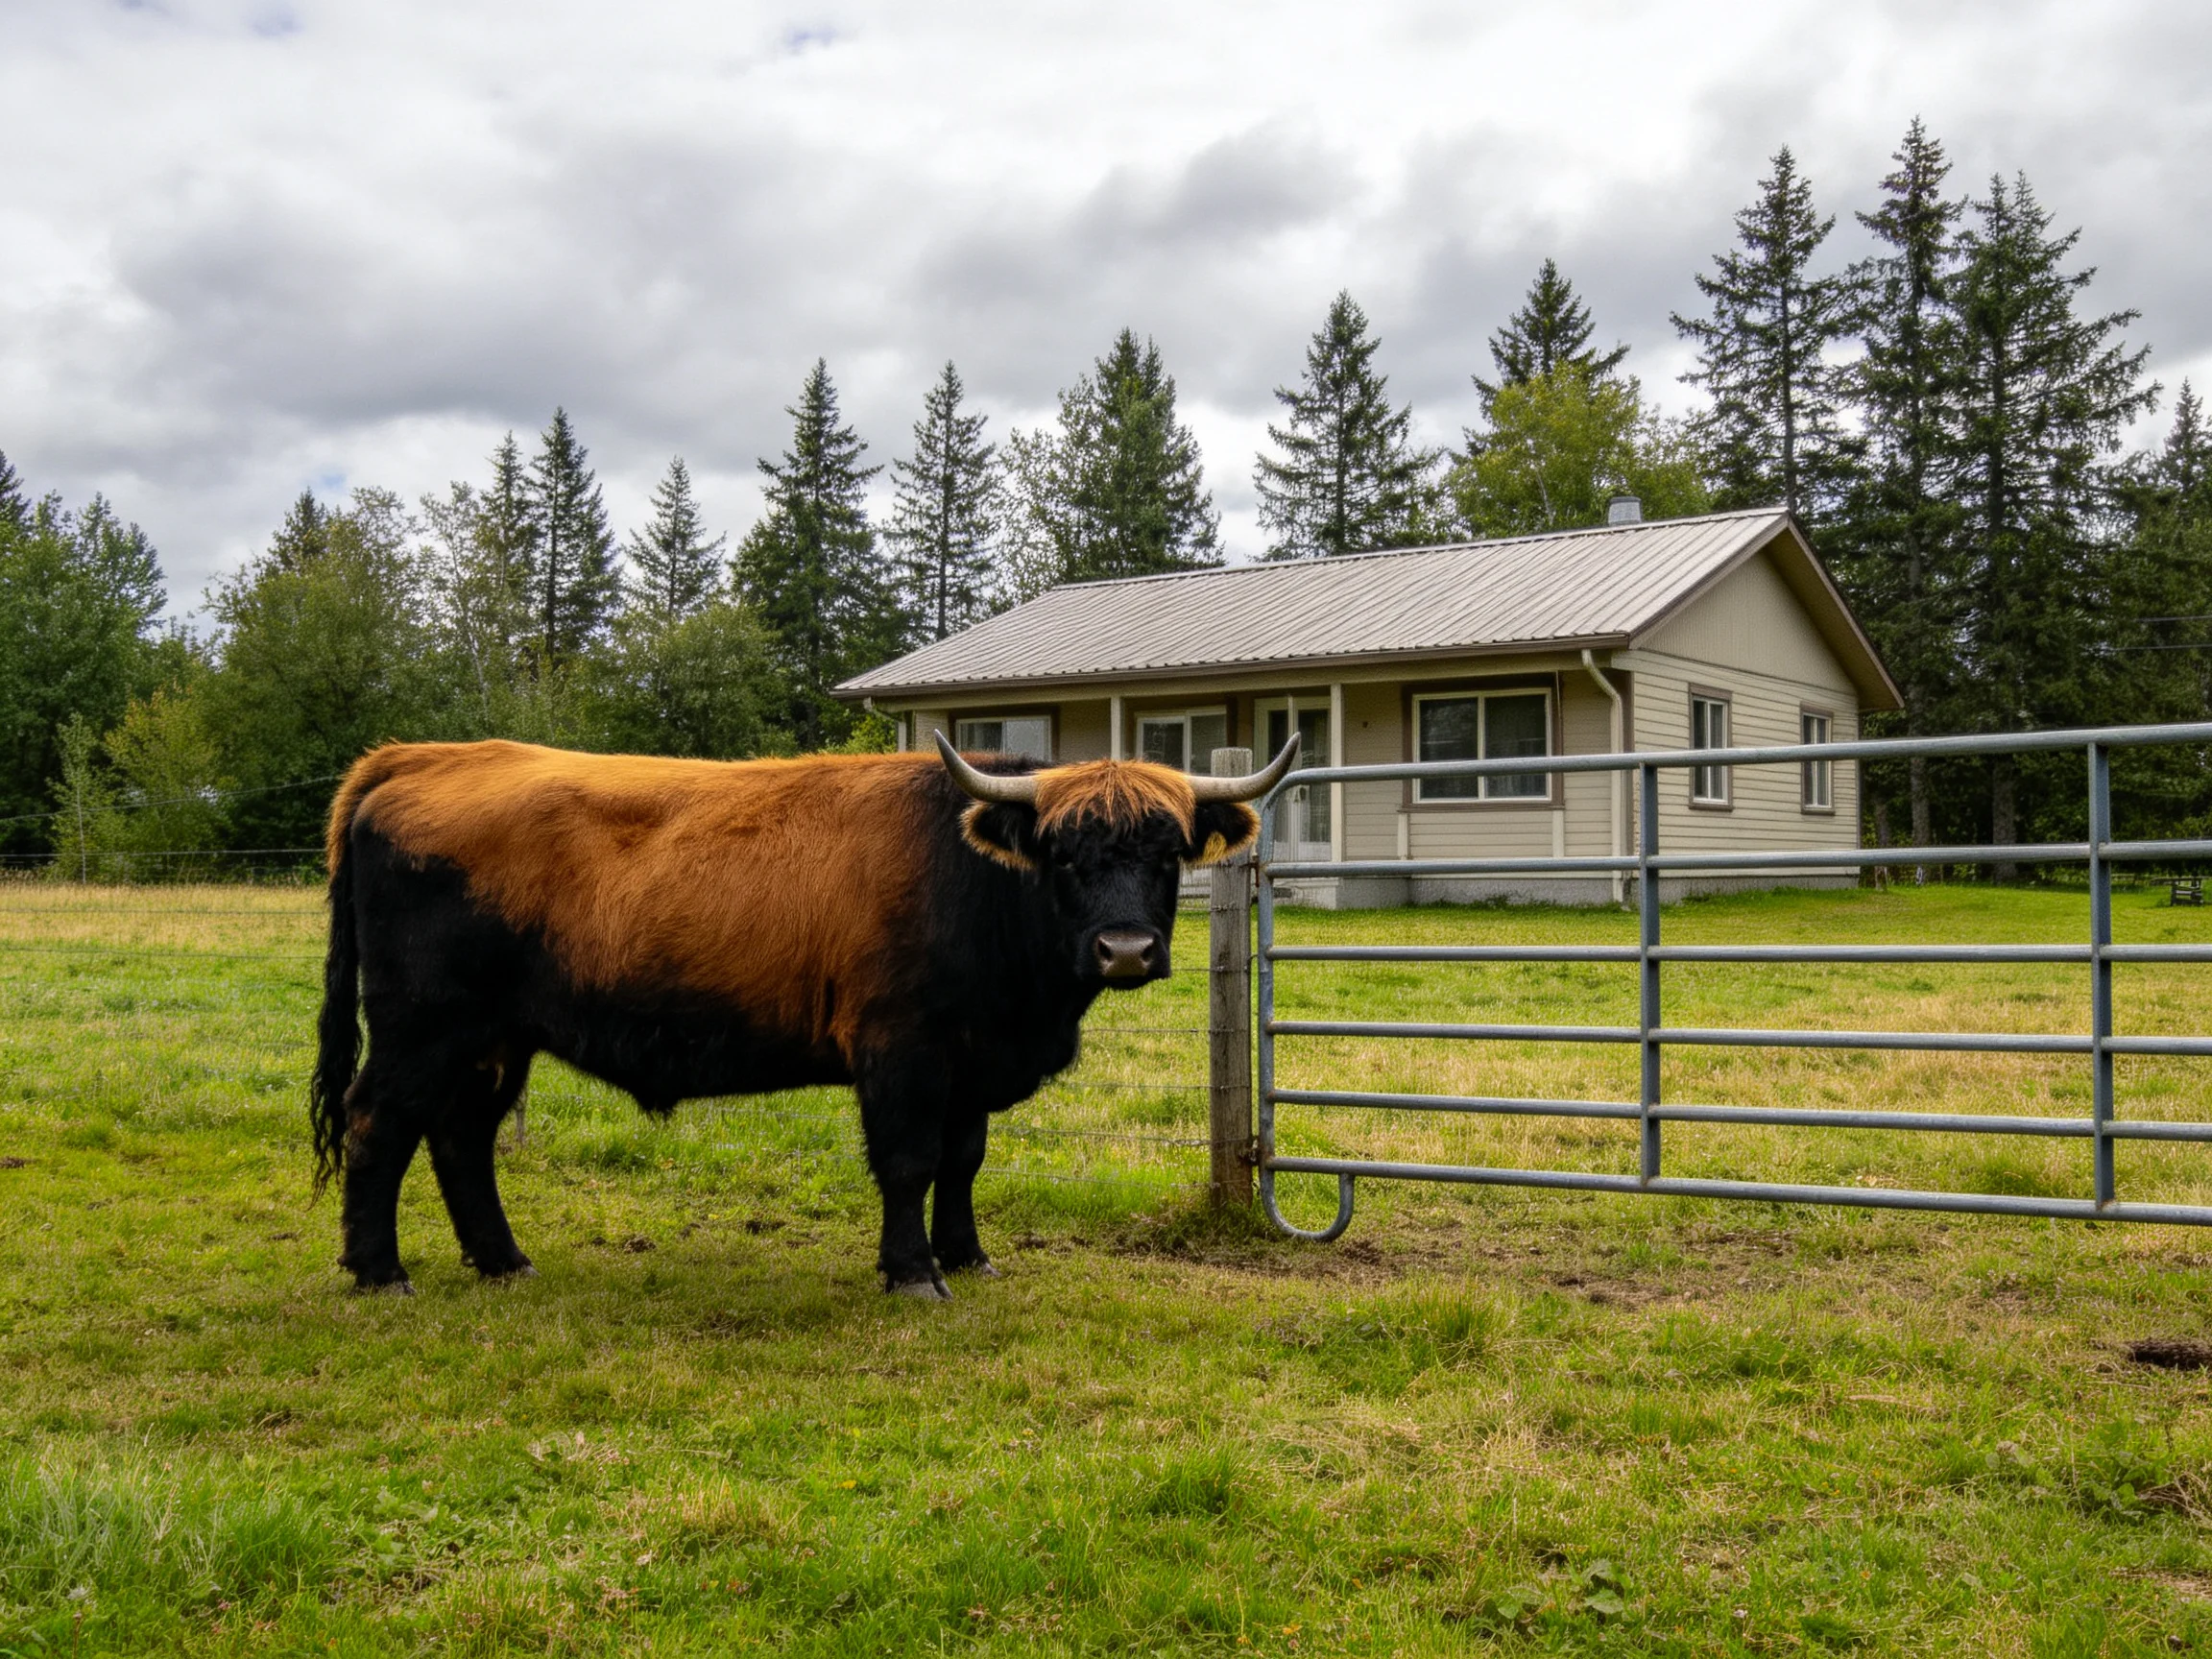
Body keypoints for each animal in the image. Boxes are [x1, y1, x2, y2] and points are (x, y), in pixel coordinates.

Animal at [310, 732, 1297, 1299]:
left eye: (1169, 851)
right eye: (1064, 853)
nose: (1126, 950)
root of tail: (422, 757)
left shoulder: (971, 1060)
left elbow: (962, 1162)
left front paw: (966, 1255)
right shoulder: (902, 1048)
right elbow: (909, 1163)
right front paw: (913, 1273)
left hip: (494, 1040)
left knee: (461, 1137)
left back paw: (501, 1260)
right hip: (422, 1028)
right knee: (378, 1123)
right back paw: (379, 1272)